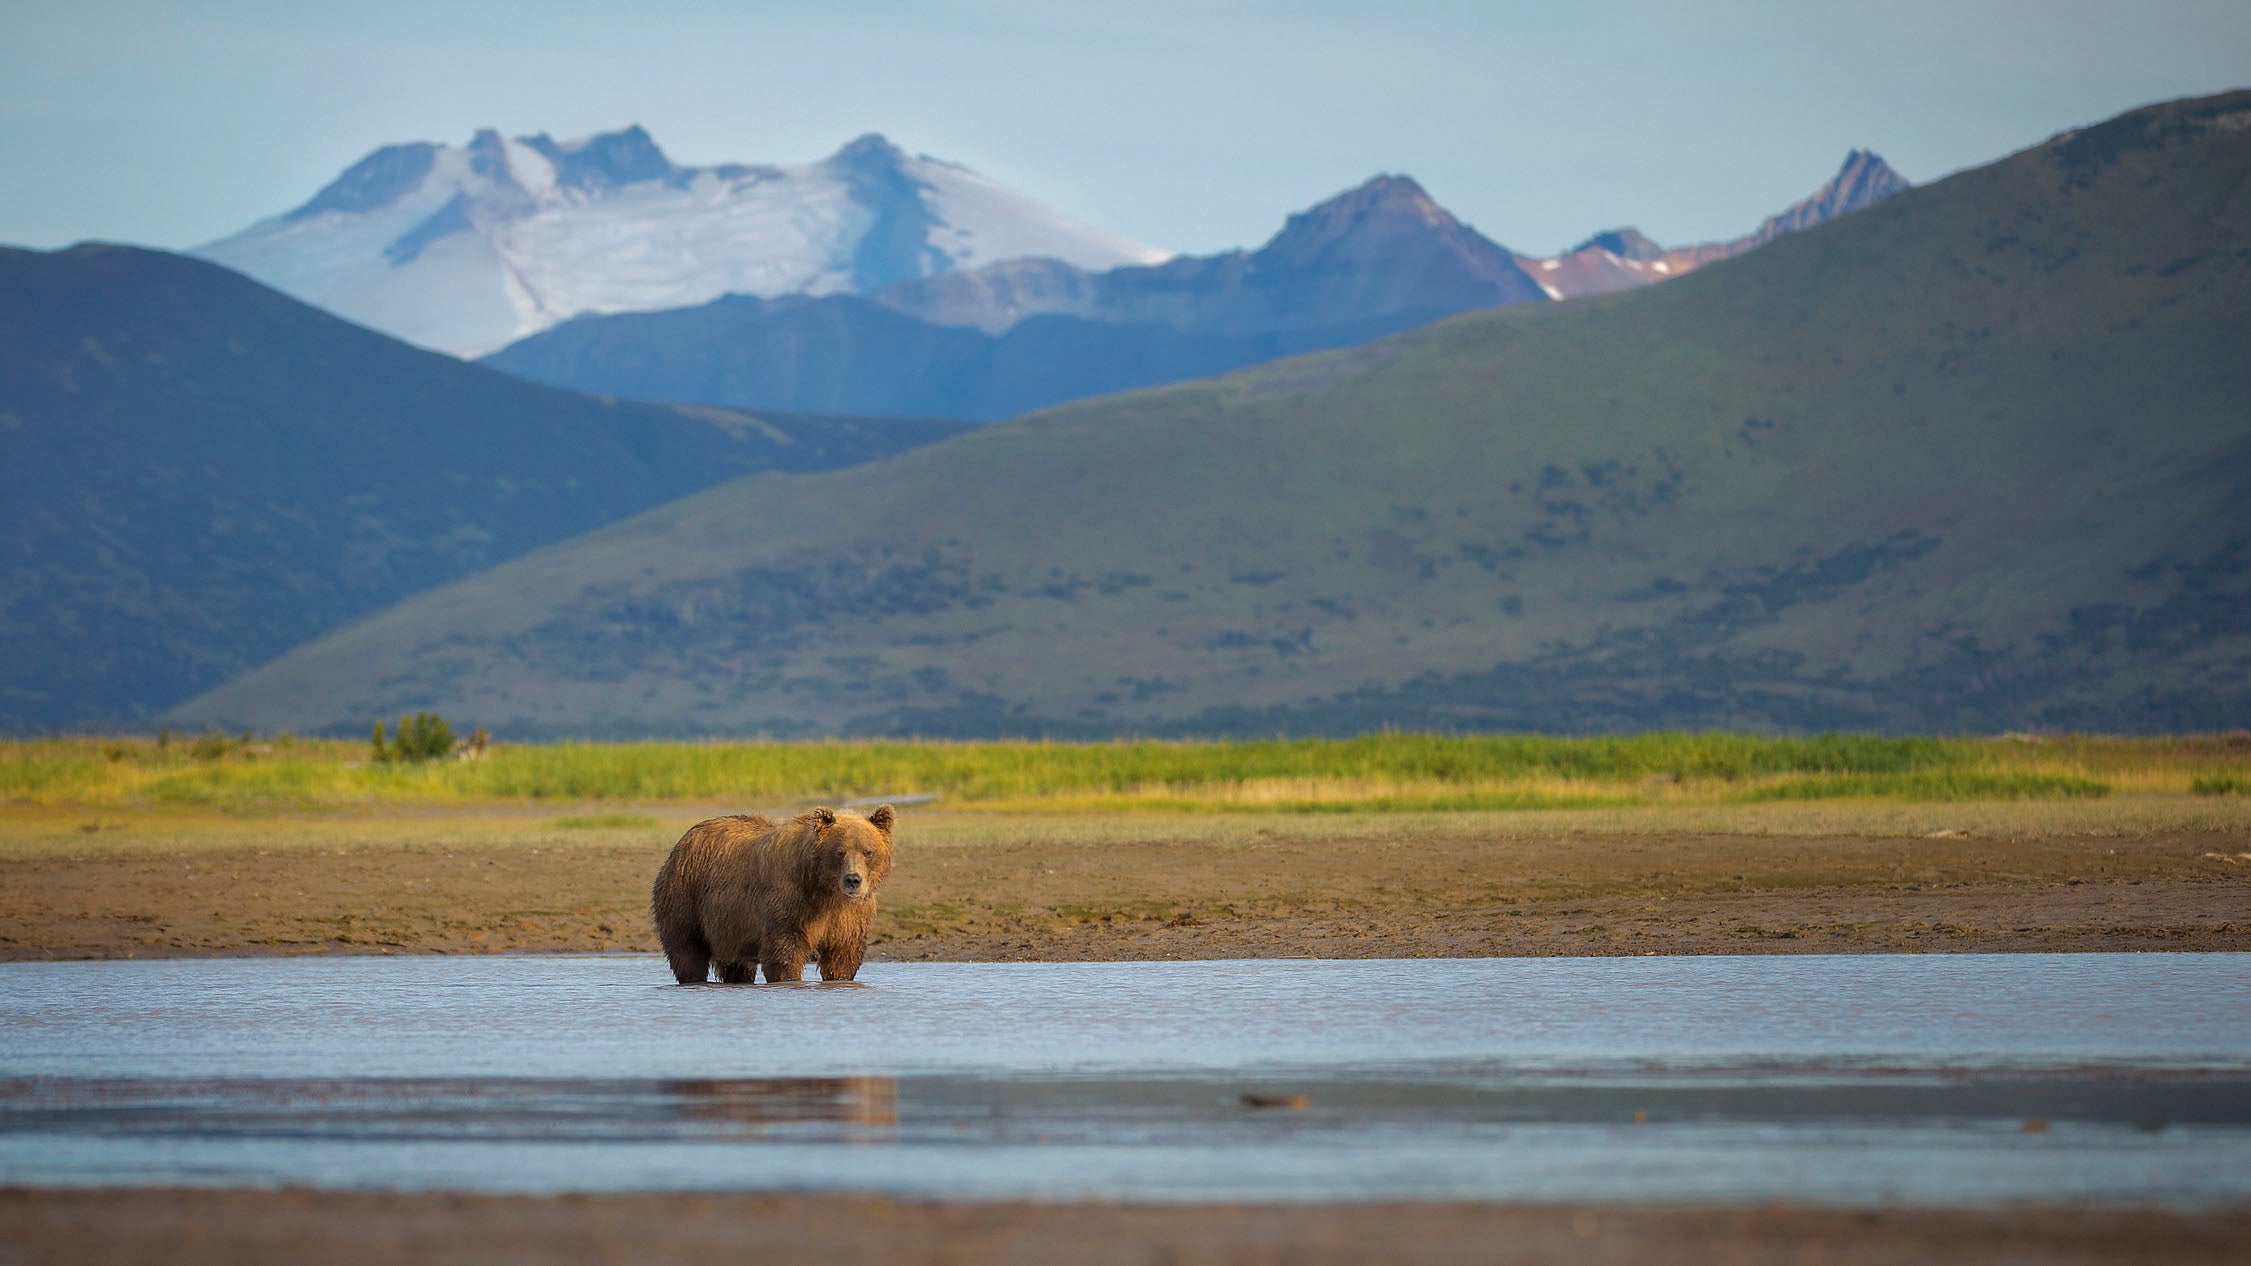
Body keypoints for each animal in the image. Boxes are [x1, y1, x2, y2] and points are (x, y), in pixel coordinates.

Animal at [650, 804, 896, 984]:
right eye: (839, 852)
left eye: (867, 851)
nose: (853, 880)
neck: (825, 891)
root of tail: (682, 842)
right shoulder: (791, 899)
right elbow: (784, 950)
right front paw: (788, 978)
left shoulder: (850, 915)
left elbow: (842, 954)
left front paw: (839, 977)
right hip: (686, 895)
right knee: (687, 949)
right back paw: (693, 978)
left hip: (730, 925)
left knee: (736, 963)